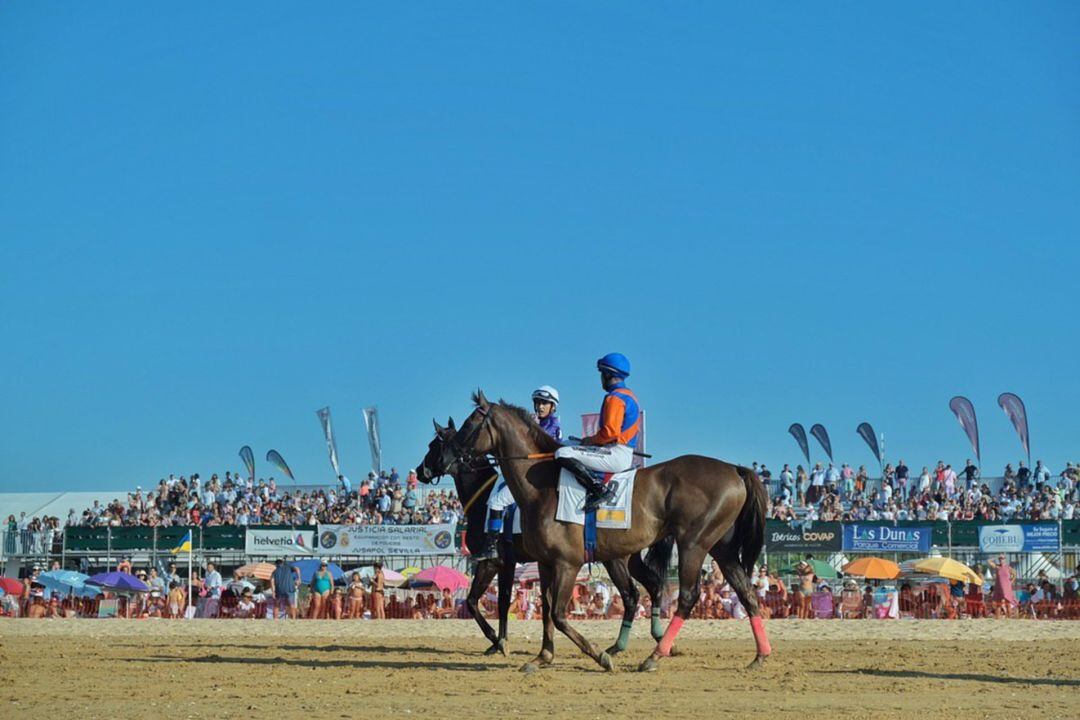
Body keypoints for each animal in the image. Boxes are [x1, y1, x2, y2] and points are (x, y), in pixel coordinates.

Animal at [416, 425, 669, 660]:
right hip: (630, 558)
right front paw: (501, 642)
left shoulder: (491, 561)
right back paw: (659, 639)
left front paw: (497, 640)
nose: (419, 471)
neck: (484, 501)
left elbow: (472, 601)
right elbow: (503, 601)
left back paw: (620, 646)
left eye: (433, 445)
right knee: (653, 584)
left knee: (632, 595)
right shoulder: (508, 563)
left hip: (615, 559)